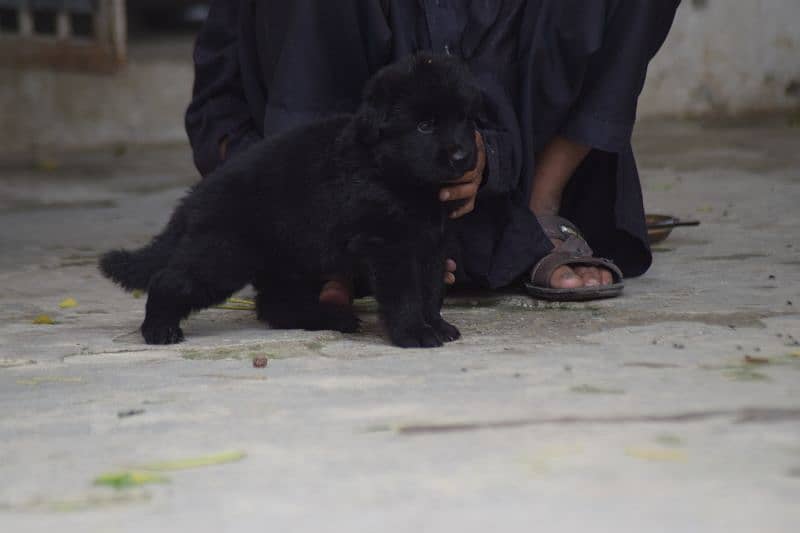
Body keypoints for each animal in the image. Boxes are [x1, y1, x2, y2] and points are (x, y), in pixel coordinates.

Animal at [98, 53, 482, 344]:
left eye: (464, 118)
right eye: (425, 126)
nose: (463, 155)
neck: (393, 174)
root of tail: (195, 197)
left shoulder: (431, 243)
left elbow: (430, 288)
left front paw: (437, 325)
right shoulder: (388, 245)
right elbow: (405, 293)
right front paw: (414, 333)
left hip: (291, 257)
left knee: (275, 305)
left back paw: (330, 317)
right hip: (224, 255)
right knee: (169, 281)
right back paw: (158, 329)